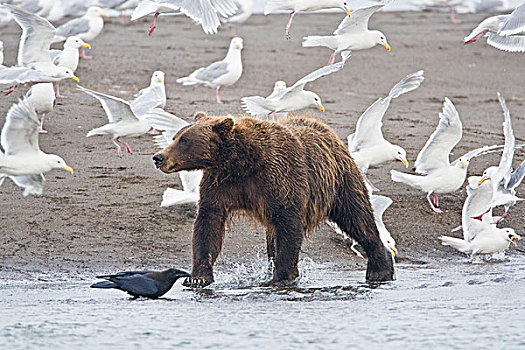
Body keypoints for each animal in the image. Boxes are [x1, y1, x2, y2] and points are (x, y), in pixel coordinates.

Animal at [151, 113, 392, 288]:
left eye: (184, 140)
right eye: (176, 137)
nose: (158, 157)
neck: (241, 163)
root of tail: (327, 131)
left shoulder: (279, 179)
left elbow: (288, 226)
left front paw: (281, 277)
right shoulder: (221, 185)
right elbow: (208, 224)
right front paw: (198, 277)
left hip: (340, 181)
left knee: (357, 217)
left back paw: (381, 269)